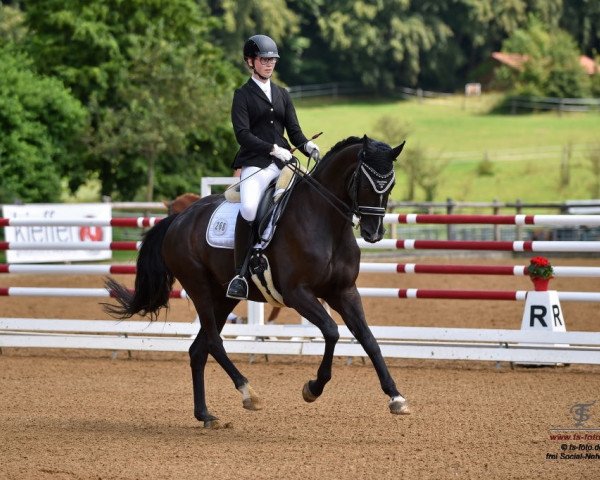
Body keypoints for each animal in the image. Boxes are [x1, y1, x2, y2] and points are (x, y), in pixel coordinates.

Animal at [105, 136, 410, 428]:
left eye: (391, 184)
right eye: (365, 181)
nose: (373, 233)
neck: (325, 222)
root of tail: (179, 219)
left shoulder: (344, 292)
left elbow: (368, 338)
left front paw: (396, 397)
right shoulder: (298, 294)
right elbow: (332, 331)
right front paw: (313, 388)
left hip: (223, 298)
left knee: (198, 350)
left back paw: (205, 415)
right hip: (200, 289)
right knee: (214, 342)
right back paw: (247, 393)